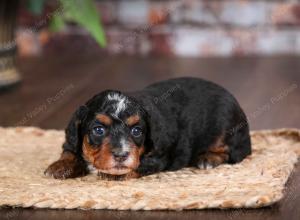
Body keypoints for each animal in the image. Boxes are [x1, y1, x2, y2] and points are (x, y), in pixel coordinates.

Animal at [44, 77, 251, 179]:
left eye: (137, 131)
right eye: (98, 130)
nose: (121, 155)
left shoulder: (159, 156)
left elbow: (134, 167)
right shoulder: (72, 138)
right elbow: (69, 150)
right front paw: (60, 166)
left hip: (225, 126)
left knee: (234, 152)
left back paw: (208, 158)